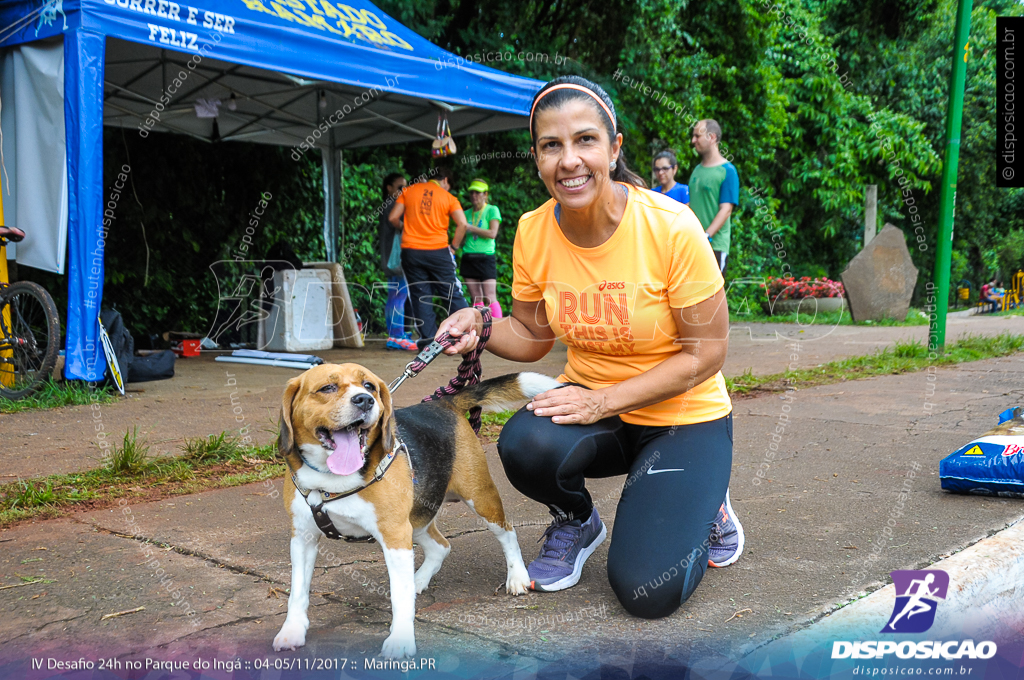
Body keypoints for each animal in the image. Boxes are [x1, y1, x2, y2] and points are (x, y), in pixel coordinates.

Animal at [272, 366, 561, 659]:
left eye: (369, 386)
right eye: (327, 388)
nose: (365, 400)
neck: (331, 480)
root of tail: (444, 403)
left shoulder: (395, 535)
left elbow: (399, 596)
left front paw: (400, 640)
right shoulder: (303, 538)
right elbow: (297, 591)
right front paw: (292, 631)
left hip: (479, 497)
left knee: (507, 533)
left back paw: (517, 577)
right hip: (417, 518)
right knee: (441, 546)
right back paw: (418, 580)